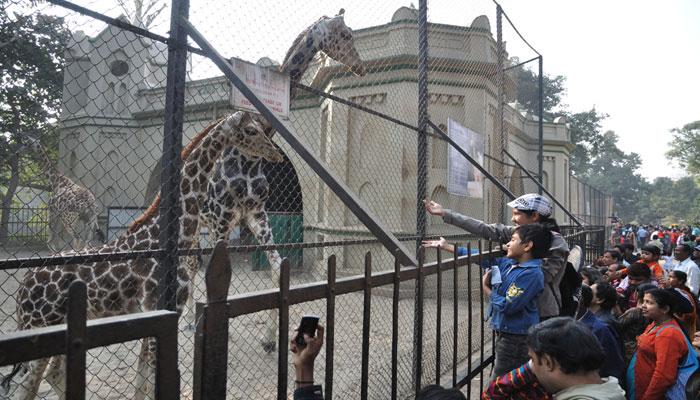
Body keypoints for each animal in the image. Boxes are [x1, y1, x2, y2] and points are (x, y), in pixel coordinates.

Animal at [0, 110, 274, 400]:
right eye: (252, 131)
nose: (276, 154)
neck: (164, 236)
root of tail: (22, 290)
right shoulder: (160, 309)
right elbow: (154, 379)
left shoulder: (154, 316)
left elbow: (142, 378)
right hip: (39, 325)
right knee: (24, 386)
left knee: (45, 377)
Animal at [193, 7, 366, 348]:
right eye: (346, 34)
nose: (360, 67)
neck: (247, 157)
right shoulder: (222, 219)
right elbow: (217, 284)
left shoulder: (256, 215)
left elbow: (276, 273)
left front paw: (271, 339)